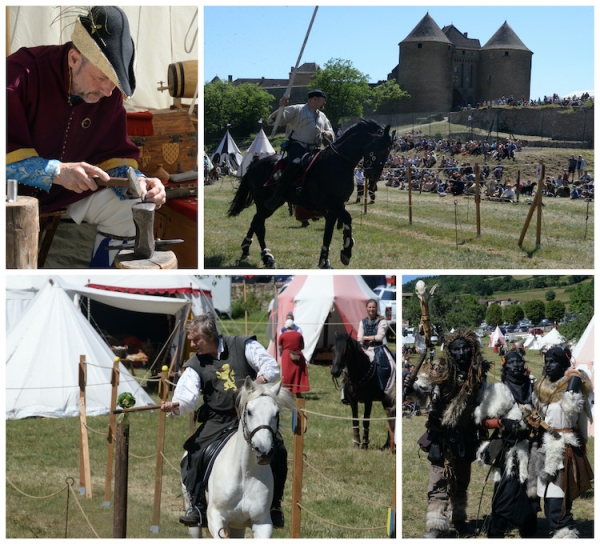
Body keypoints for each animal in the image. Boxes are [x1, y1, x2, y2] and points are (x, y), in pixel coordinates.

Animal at [185, 376, 292, 536]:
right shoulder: (215, 517)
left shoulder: (262, 522)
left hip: (237, 526)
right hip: (194, 522)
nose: (263, 451)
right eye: (249, 412)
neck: (245, 472)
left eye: (276, 413)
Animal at [226, 121, 394, 270]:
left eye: (389, 149)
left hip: (275, 203)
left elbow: (328, 234)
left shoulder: (335, 208)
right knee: (260, 226)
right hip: (264, 203)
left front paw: (324, 261)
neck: (338, 163)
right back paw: (267, 258)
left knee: (255, 221)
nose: (374, 175)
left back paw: (246, 249)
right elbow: (347, 218)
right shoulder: (331, 203)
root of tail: (255, 164)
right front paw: (346, 250)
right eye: (378, 146)